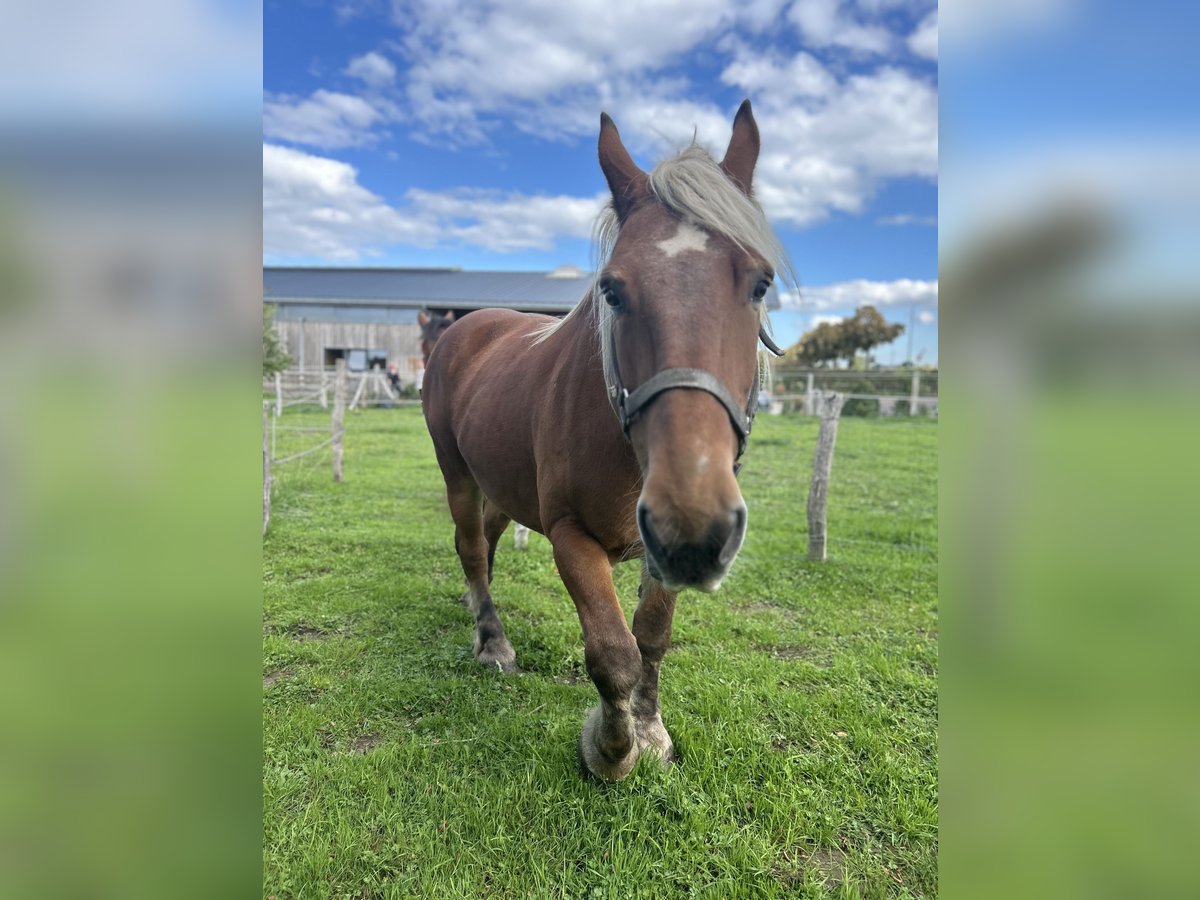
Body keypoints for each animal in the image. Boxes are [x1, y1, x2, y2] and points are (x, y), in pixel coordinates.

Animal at [422, 100, 791, 781]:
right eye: (613, 290)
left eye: (760, 284)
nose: (694, 525)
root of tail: (465, 325)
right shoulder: (570, 535)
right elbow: (613, 651)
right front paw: (611, 749)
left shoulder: (658, 552)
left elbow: (651, 637)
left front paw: (650, 730)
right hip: (455, 471)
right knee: (469, 545)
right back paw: (492, 640)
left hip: (500, 483)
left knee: (486, 540)